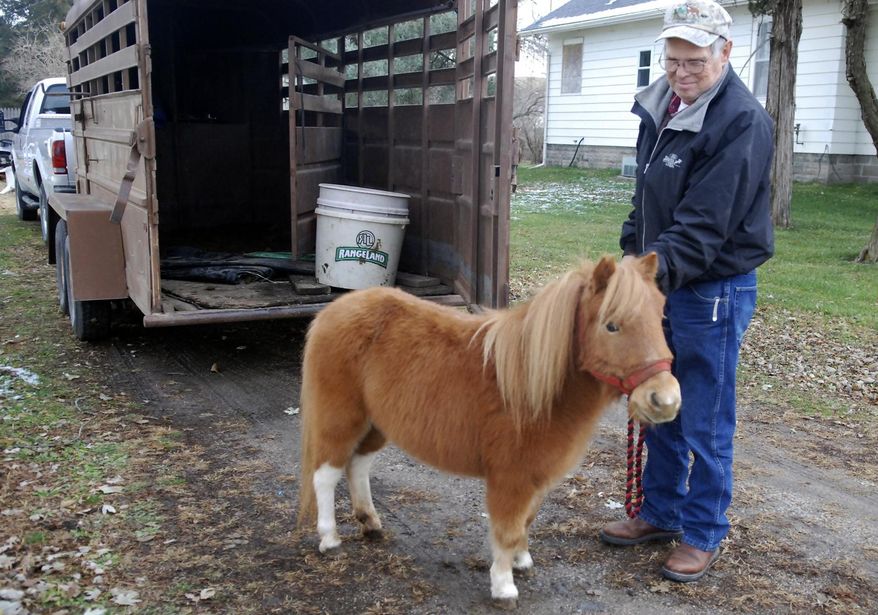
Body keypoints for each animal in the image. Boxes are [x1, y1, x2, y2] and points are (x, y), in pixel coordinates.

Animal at [296, 254, 681, 606]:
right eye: (611, 326)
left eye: (661, 317)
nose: (665, 400)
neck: (533, 387)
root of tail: (334, 310)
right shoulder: (511, 478)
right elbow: (507, 530)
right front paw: (503, 586)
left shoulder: (536, 479)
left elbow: (526, 521)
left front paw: (522, 561)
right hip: (342, 418)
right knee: (326, 474)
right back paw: (329, 539)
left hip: (376, 423)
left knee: (358, 465)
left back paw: (371, 523)